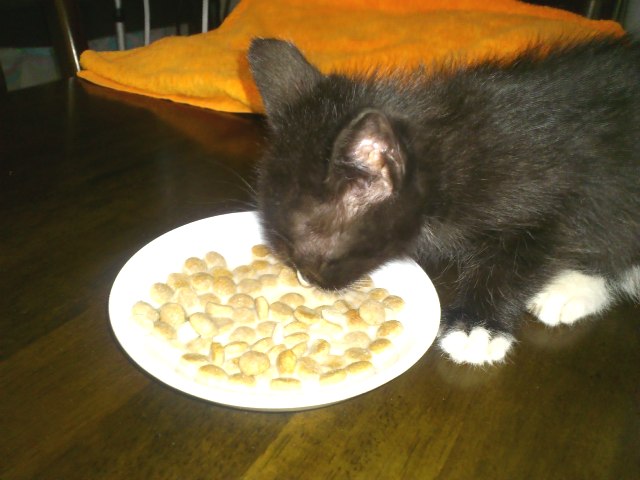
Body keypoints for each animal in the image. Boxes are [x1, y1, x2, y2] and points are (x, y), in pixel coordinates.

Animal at [247, 36, 640, 365]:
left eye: (311, 254)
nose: (305, 279)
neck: (447, 159)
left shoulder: (559, 193)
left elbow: (521, 257)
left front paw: (477, 326)